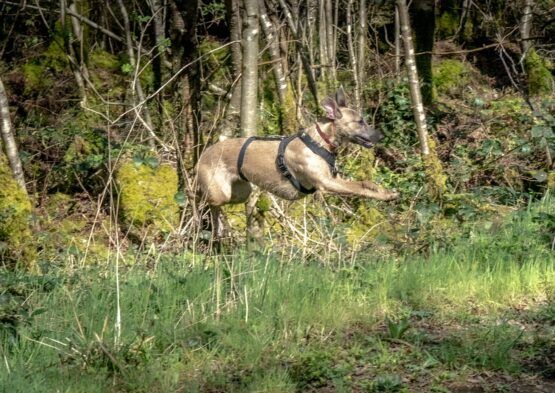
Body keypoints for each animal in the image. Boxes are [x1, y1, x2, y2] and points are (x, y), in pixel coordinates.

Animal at [197, 88, 400, 236]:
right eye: (360, 122)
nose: (380, 136)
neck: (319, 142)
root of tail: (204, 154)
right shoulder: (327, 183)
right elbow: (359, 189)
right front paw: (383, 196)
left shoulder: (333, 179)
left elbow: (365, 183)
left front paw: (387, 192)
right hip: (220, 192)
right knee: (206, 201)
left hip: (241, 192)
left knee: (217, 209)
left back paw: (218, 227)